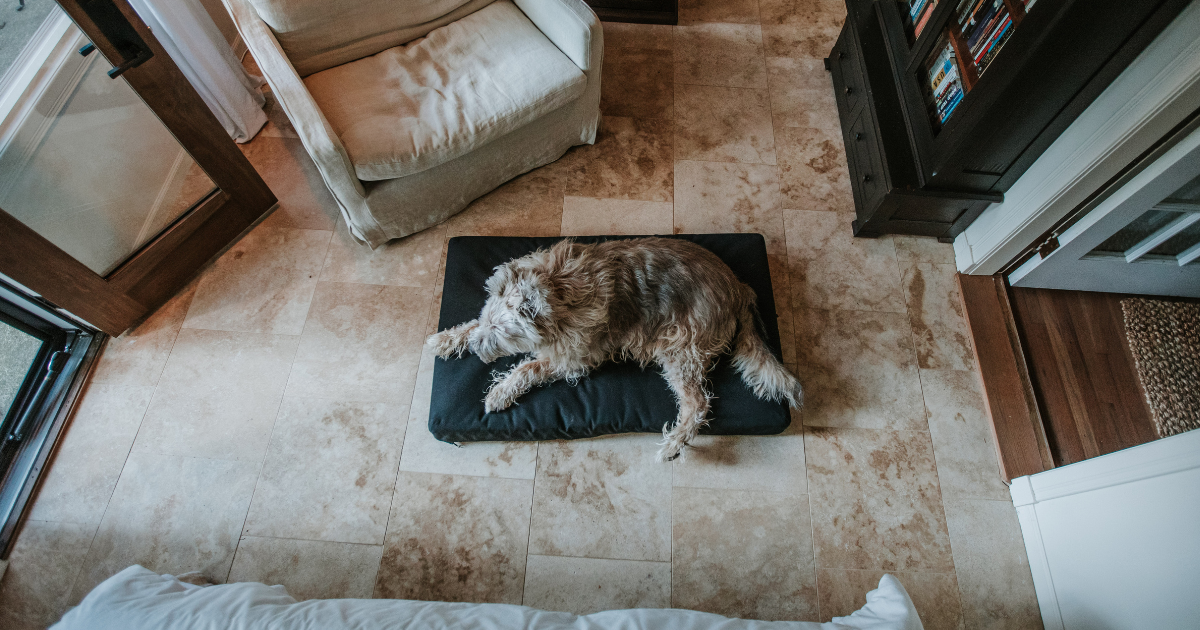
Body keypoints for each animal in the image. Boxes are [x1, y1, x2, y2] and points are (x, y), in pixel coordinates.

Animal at [427, 238, 801, 458]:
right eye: (487, 319)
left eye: (500, 333)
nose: (479, 350)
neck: (558, 288)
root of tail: (740, 288)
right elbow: (470, 329)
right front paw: (446, 339)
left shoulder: (575, 357)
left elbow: (528, 367)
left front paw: (500, 392)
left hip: (680, 349)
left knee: (697, 404)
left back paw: (674, 444)